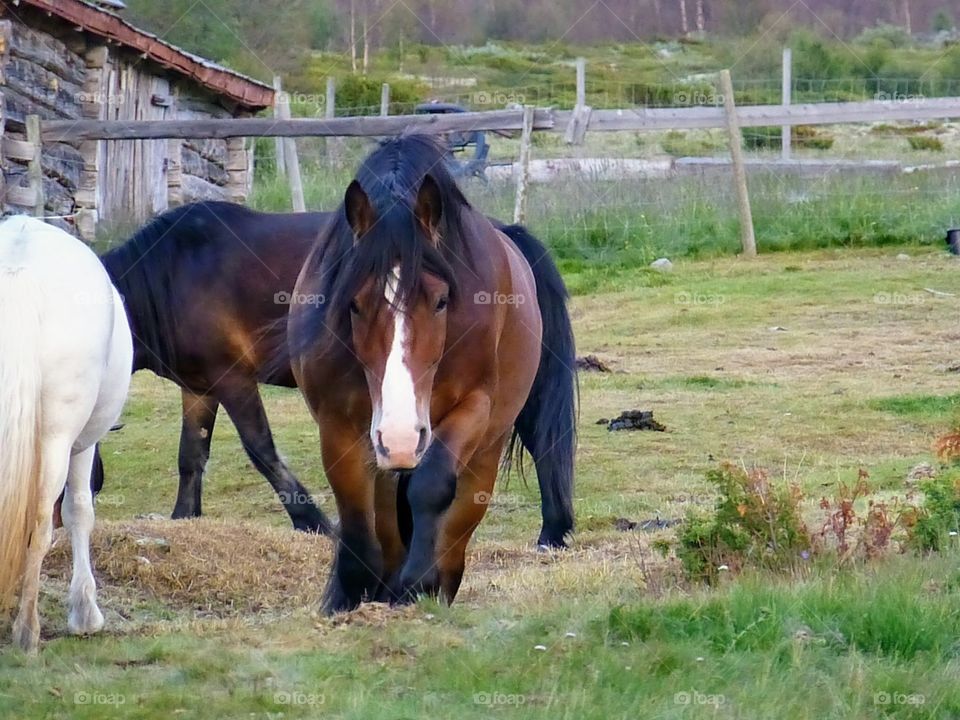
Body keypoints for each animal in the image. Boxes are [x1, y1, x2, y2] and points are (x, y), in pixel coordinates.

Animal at [0, 216, 132, 653]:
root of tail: (19, 268)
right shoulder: (83, 447)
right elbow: (78, 511)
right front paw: (85, 611)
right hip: (59, 439)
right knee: (41, 524)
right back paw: (27, 631)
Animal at [97, 202, 334, 533]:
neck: (173, 276)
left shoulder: (233, 379)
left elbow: (261, 450)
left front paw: (312, 520)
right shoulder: (199, 387)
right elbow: (191, 454)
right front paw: (184, 516)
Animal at [287, 135, 577, 613]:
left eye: (441, 301)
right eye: (354, 304)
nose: (401, 437)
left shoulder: (473, 408)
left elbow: (431, 485)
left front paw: (418, 581)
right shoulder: (337, 422)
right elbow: (355, 513)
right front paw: (347, 596)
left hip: (485, 448)